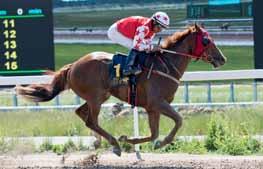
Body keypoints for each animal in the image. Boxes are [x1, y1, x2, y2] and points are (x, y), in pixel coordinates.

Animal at [16, 24, 227, 156]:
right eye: (206, 40)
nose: (222, 59)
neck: (166, 65)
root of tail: (73, 65)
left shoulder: (153, 107)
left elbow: (154, 133)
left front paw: (133, 140)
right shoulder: (157, 103)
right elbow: (178, 120)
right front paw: (156, 142)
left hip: (98, 96)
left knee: (81, 113)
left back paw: (102, 142)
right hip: (96, 97)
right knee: (91, 120)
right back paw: (114, 144)